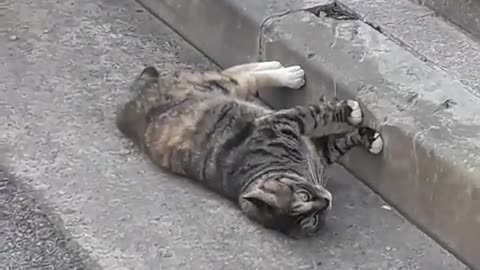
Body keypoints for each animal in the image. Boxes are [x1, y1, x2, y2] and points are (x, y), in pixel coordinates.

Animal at [116, 61, 382, 238]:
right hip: (219, 86)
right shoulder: (290, 127)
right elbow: (321, 119)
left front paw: (368, 135)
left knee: (237, 73)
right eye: (311, 218)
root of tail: (130, 104)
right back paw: (287, 73)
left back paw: (282, 70)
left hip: (218, 87)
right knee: (244, 77)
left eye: (305, 196)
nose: (327, 200)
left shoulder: (302, 138)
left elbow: (333, 132)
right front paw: (352, 114)